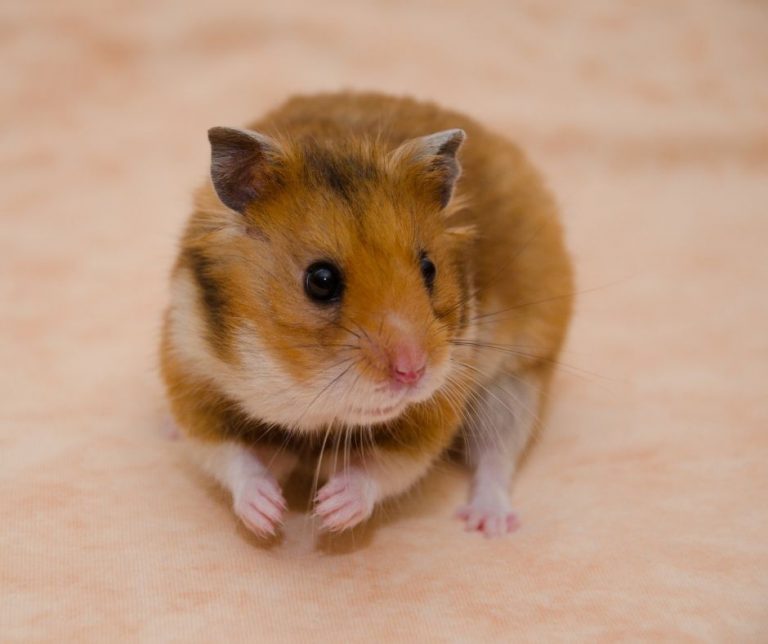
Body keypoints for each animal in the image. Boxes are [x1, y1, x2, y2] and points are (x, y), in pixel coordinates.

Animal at [160, 92, 573, 538]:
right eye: (321, 280)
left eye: (429, 268)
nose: (413, 372)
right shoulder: (192, 372)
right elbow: (230, 456)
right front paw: (268, 515)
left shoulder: (436, 408)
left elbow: (384, 467)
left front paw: (330, 509)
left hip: (516, 381)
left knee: (497, 454)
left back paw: (489, 524)